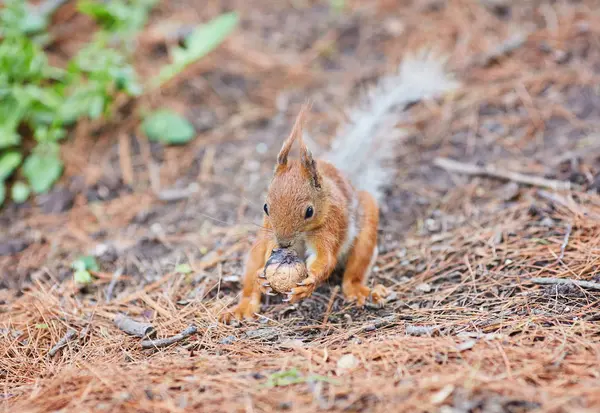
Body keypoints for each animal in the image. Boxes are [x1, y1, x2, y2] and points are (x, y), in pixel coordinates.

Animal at [223, 104, 386, 322]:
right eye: (265, 207)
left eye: (309, 211)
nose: (283, 244)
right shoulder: (269, 233)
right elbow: (269, 251)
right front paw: (262, 276)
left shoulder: (330, 225)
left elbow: (325, 259)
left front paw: (308, 284)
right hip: (257, 245)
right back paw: (244, 305)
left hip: (366, 227)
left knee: (355, 271)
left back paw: (361, 291)